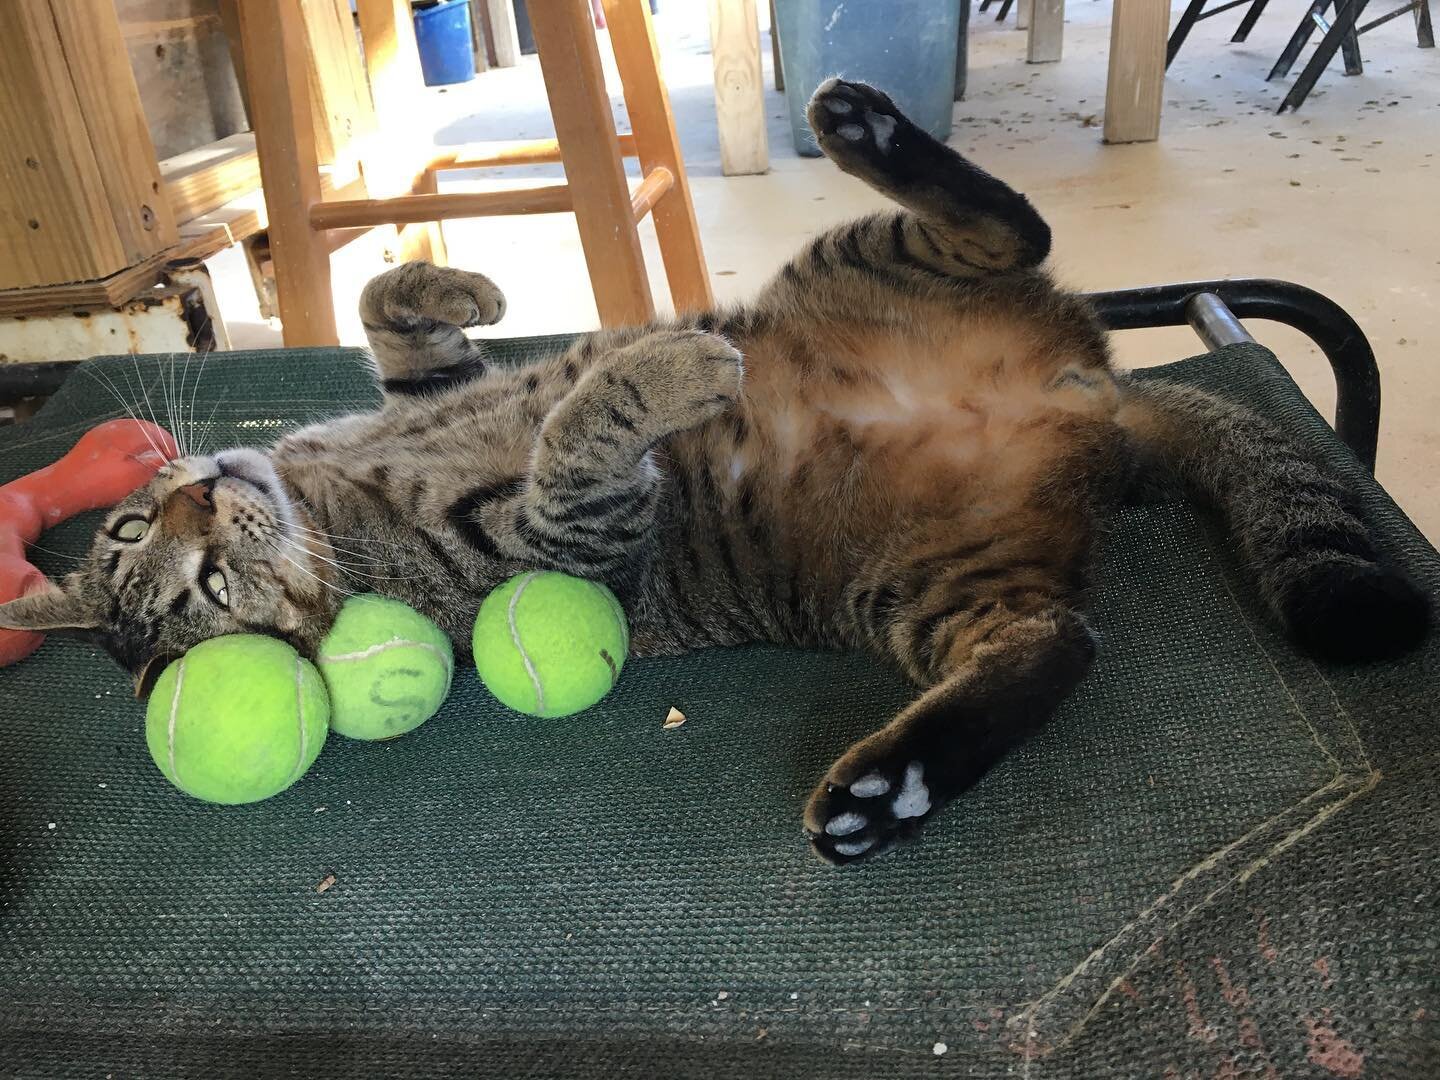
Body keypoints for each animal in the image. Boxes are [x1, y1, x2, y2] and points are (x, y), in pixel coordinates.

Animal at [2, 80, 1428, 869]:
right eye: (202, 596)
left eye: (134, 535)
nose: (195, 496)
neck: (323, 492)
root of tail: (1092, 403)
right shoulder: (567, 537)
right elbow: (578, 436)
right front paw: (660, 369)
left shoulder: (423, 396)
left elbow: (396, 318)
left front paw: (459, 280)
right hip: (922, 586)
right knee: (1058, 639)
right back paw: (889, 790)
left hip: (868, 270)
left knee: (1015, 225)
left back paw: (865, 126)